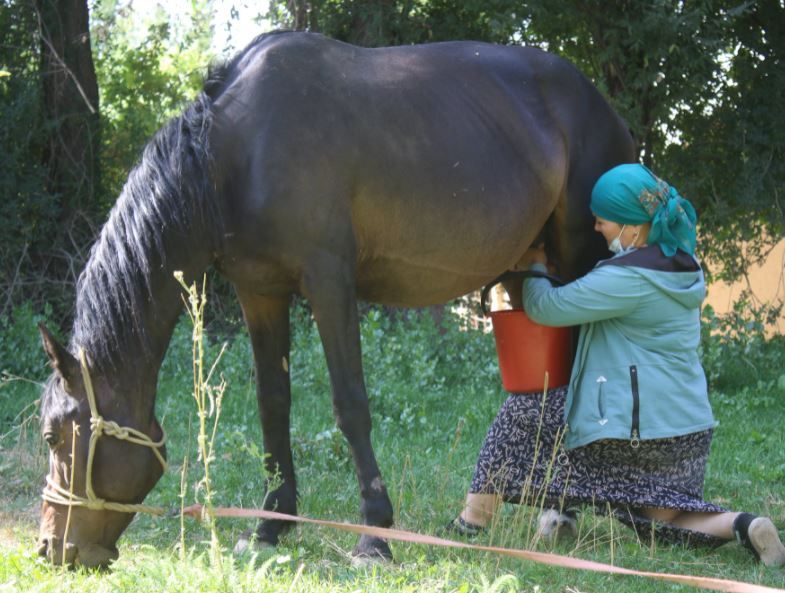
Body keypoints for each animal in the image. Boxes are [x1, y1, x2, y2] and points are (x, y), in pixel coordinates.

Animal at [36, 30, 632, 568]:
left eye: (52, 435)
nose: (51, 549)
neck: (234, 153)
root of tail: (603, 106)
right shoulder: (261, 292)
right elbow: (273, 404)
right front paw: (270, 525)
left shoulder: (329, 284)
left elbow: (350, 405)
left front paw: (375, 536)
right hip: (530, 272)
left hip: (581, 262)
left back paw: (563, 513)